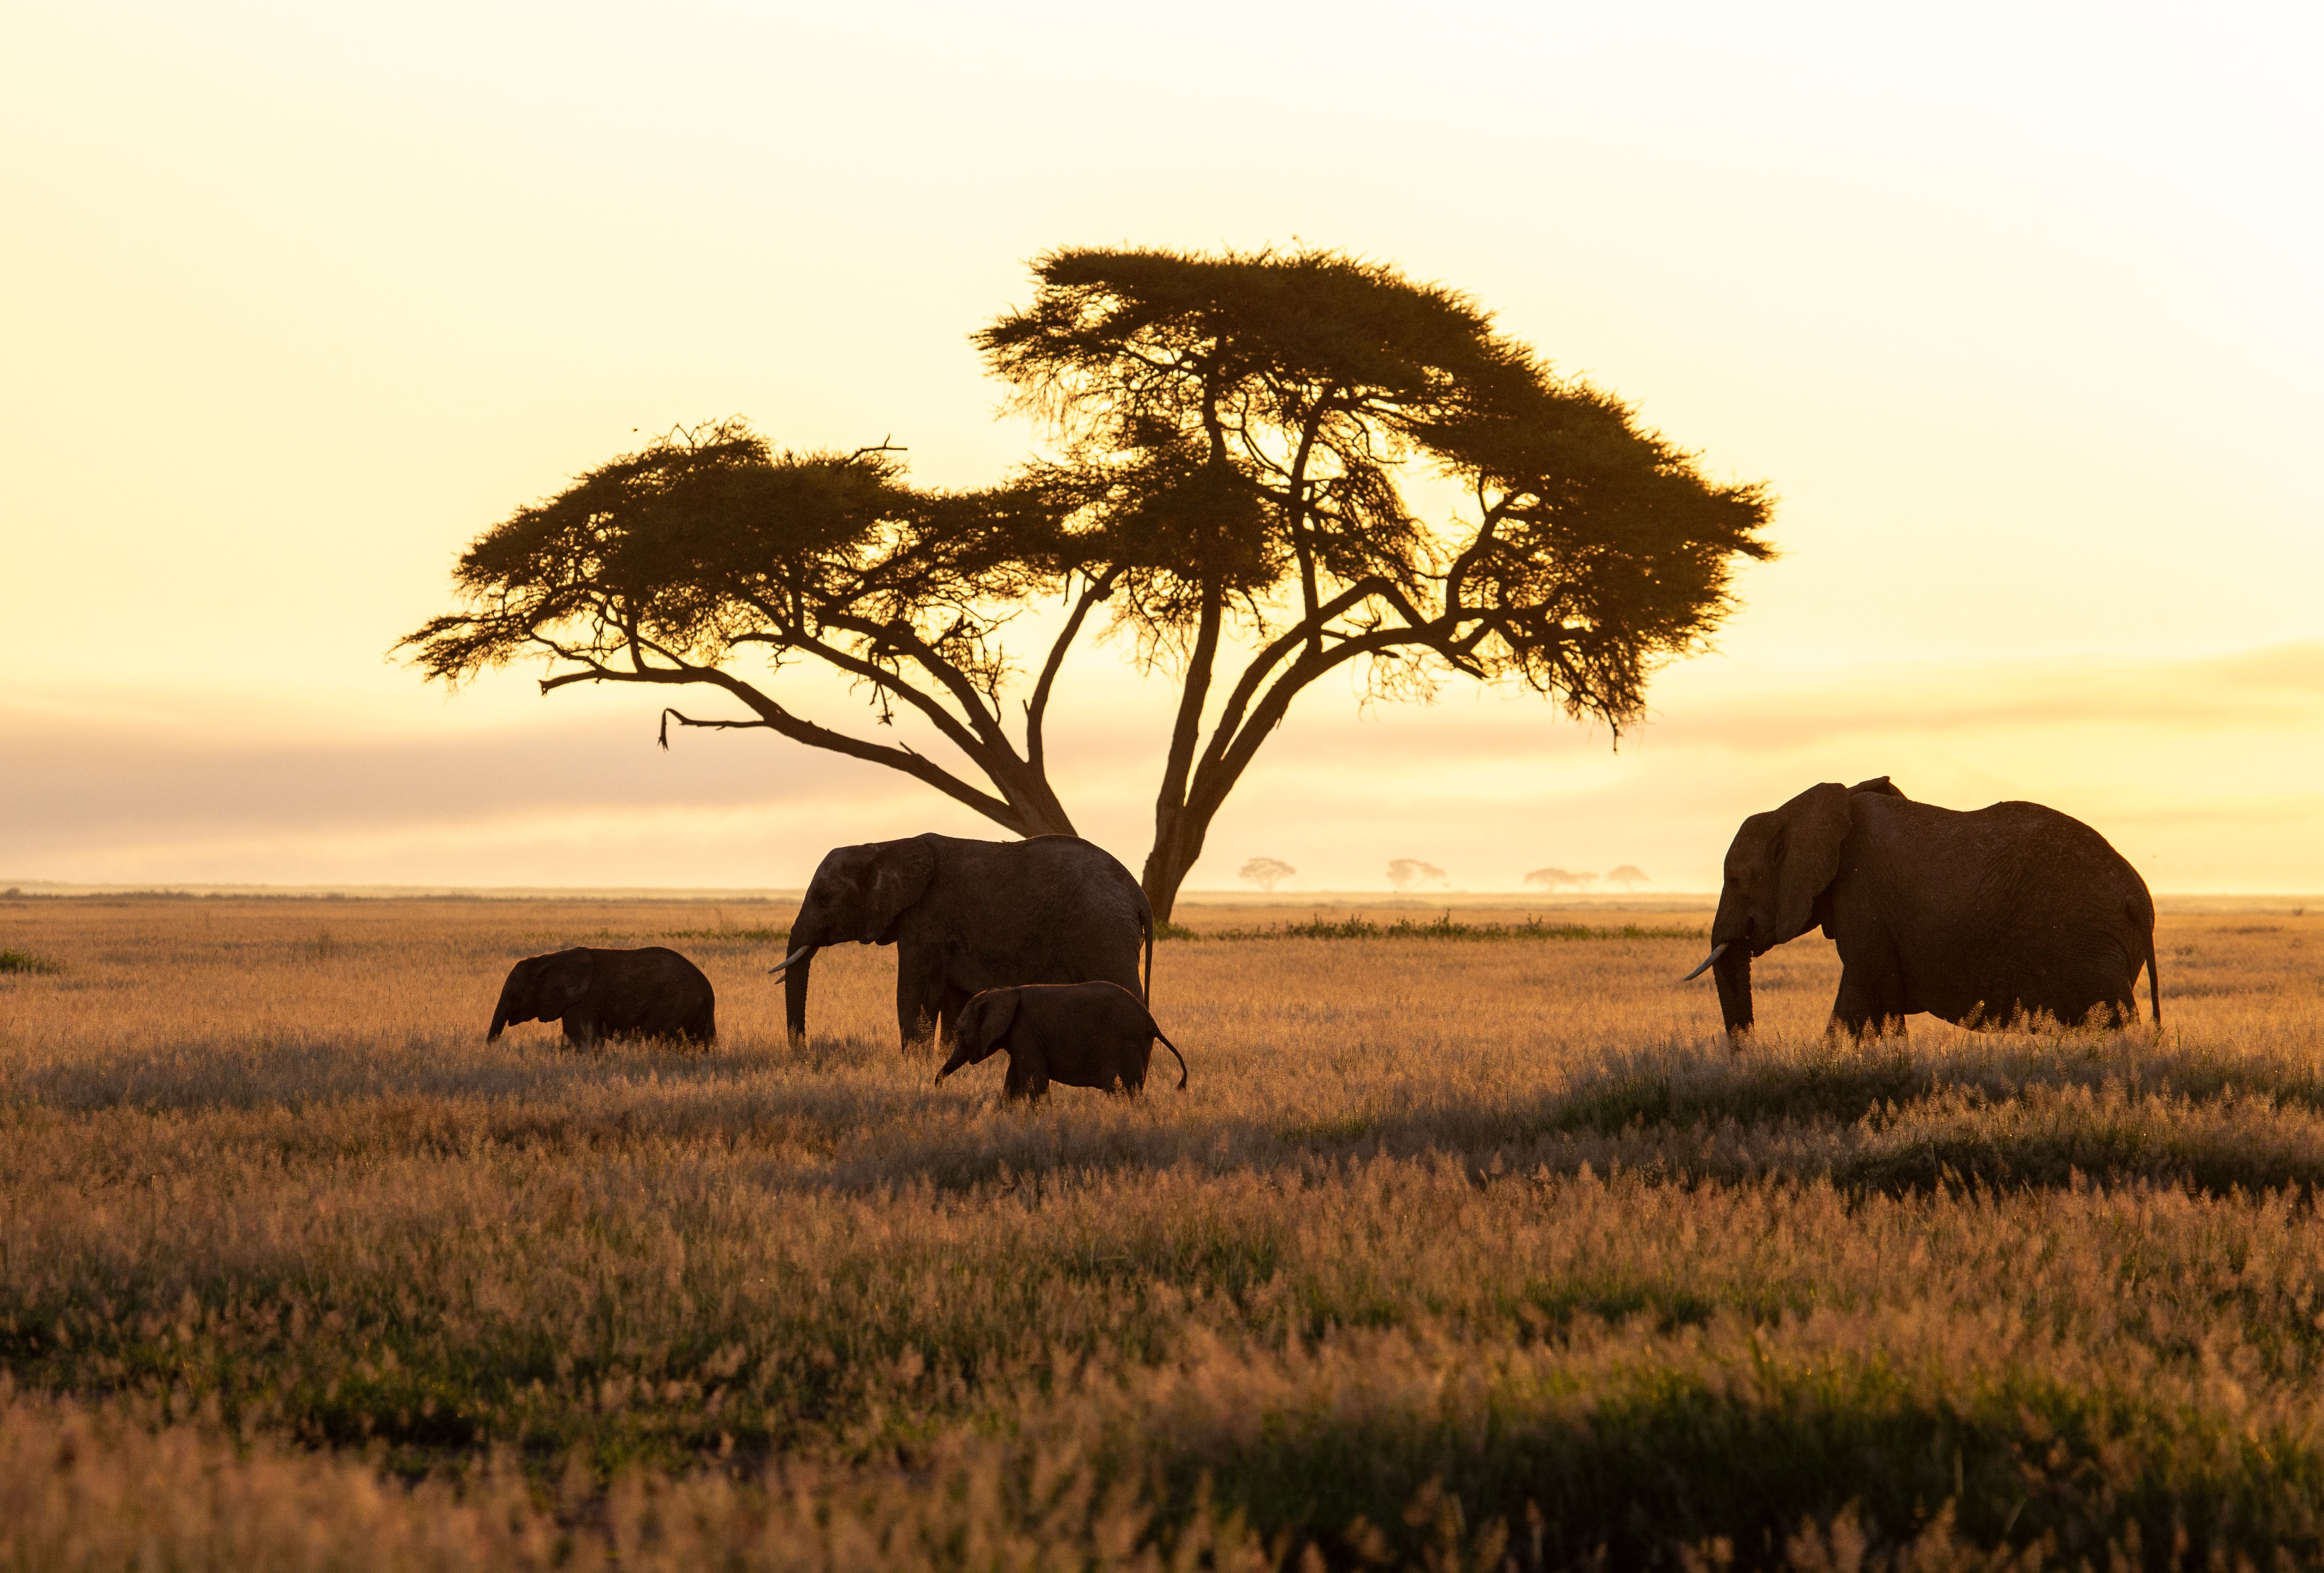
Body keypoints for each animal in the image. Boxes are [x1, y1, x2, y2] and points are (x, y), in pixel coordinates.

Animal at [487, 946, 715, 1047]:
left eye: (514, 996)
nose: (492, 1048)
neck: (547, 959)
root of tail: (708, 992)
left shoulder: (582, 1001)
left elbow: (581, 1039)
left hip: (673, 1005)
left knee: (655, 1036)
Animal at [768, 833, 1152, 1049]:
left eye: (823, 897)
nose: (803, 1054)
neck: (883, 846)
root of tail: (1139, 894)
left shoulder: (926, 919)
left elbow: (914, 993)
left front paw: (914, 1064)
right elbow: (953, 1001)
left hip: (1105, 929)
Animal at [937, 981, 1188, 1101]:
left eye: (961, 1032)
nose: (938, 1085)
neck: (1003, 992)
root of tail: (1151, 1023)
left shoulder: (1025, 1032)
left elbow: (1035, 1081)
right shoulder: (1021, 1036)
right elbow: (1013, 1082)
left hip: (1124, 1042)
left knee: (1124, 1091)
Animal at [1686, 777, 2159, 1041]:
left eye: (1736, 880)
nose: (1751, 1054)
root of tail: (2142, 902)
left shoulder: (1863, 895)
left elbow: (1862, 998)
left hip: (2089, 943)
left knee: (2114, 1023)